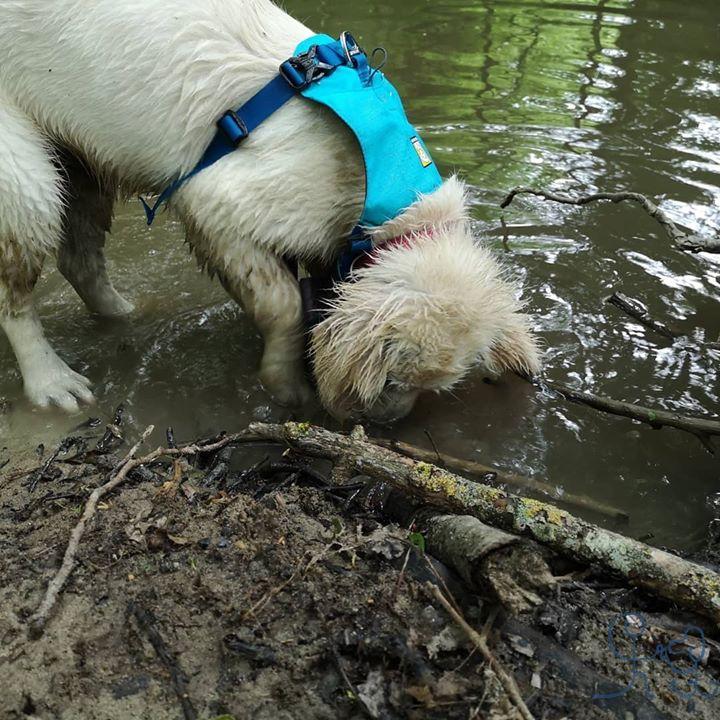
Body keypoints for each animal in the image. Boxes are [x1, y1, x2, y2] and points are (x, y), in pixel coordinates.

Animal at [0, 0, 540, 422]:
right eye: (393, 380)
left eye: (428, 388)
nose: (384, 424)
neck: (385, 203)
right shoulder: (222, 203)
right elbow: (283, 305)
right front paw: (286, 385)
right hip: (26, 178)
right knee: (16, 296)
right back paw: (52, 381)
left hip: (82, 161)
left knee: (80, 259)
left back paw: (123, 316)